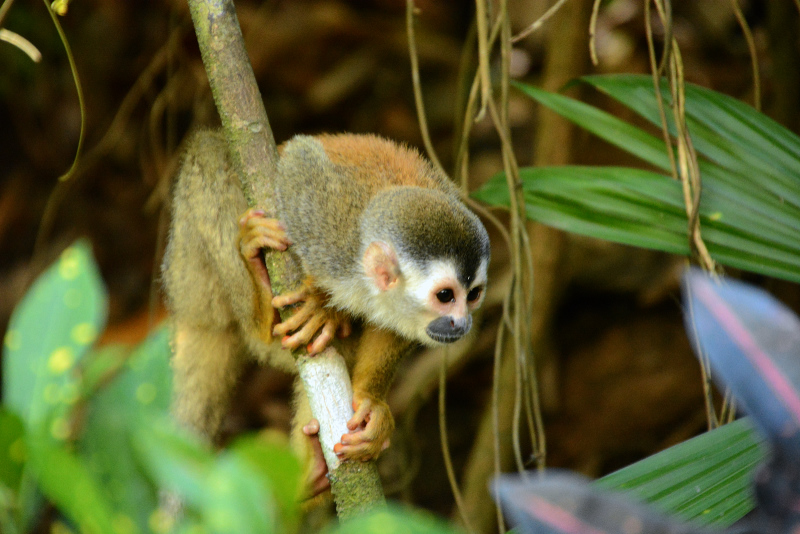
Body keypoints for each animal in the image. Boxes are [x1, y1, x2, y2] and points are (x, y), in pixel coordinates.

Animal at [161, 132, 488, 492]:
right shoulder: (330, 236)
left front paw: (370, 399)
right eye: (446, 296)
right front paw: (322, 304)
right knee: (208, 150)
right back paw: (260, 306)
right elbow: (298, 160)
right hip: (188, 270)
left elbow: (393, 329)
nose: (463, 323)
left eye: (473, 295)